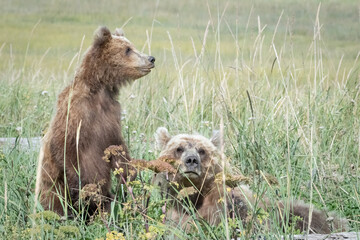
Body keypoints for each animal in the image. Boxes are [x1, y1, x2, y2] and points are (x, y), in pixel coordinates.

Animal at [34, 26, 156, 216]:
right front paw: (84, 191)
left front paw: (130, 174)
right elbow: (67, 149)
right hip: (51, 186)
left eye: (132, 46)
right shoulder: (77, 114)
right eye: (127, 50)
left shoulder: (111, 115)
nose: (151, 58)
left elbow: (117, 147)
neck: (99, 88)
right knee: (54, 201)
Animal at [153, 127, 348, 234]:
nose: (191, 160)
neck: (195, 194)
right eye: (179, 148)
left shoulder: (228, 203)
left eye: (202, 150)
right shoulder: (174, 208)